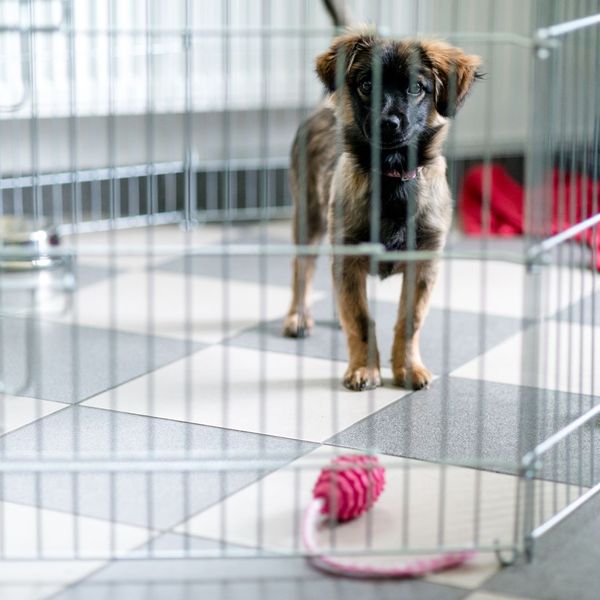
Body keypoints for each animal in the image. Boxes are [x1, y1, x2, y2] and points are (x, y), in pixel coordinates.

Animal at [282, 28, 482, 394]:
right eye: (366, 85)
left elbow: (410, 320)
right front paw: (364, 369)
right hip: (309, 216)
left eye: (416, 87)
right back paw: (297, 317)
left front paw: (409, 368)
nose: (388, 123)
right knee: (302, 268)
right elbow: (361, 320)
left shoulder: (423, 265)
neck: (392, 175)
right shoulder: (348, 257)